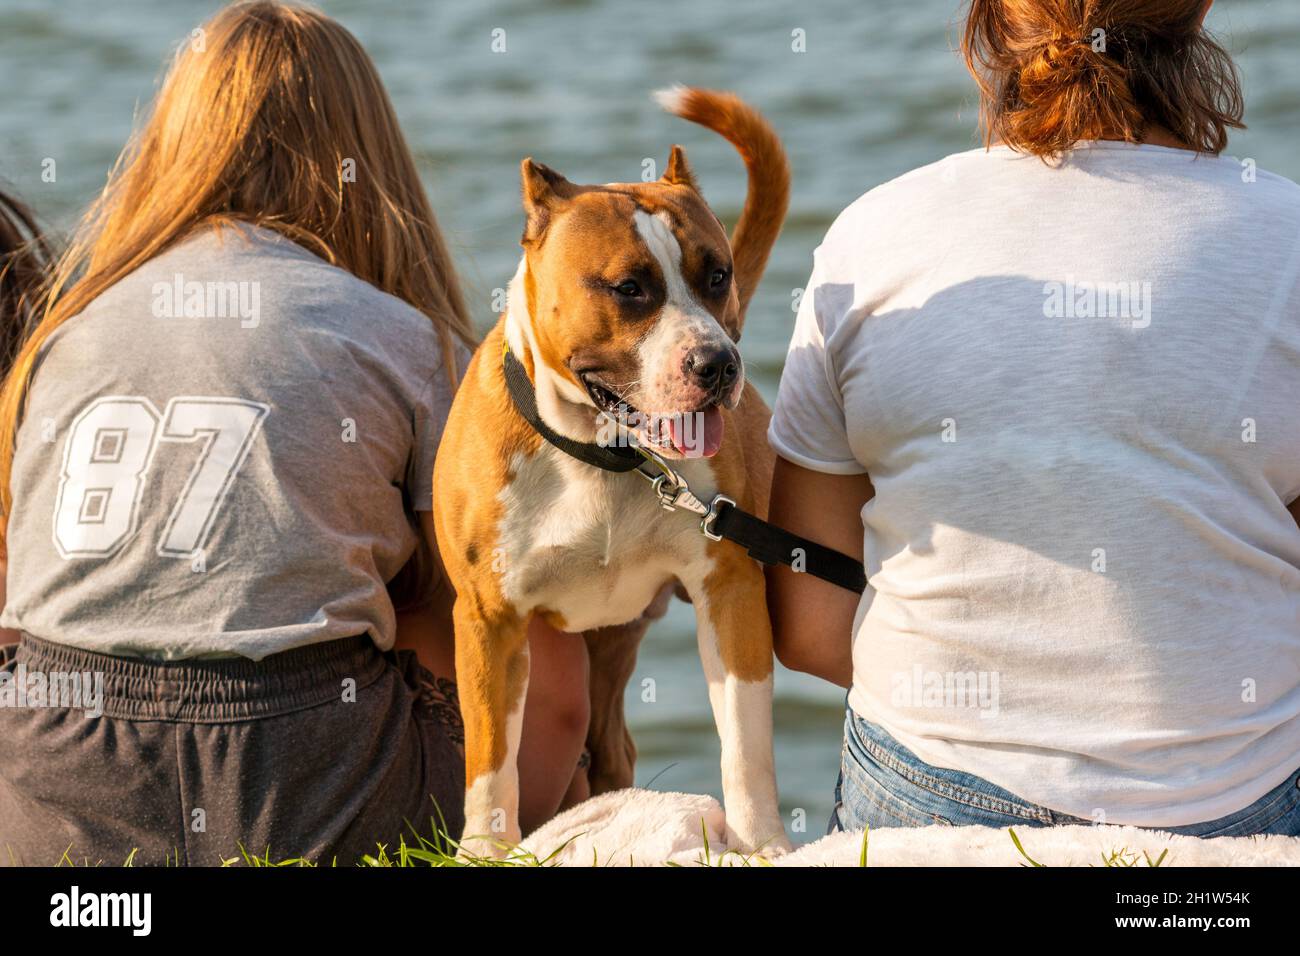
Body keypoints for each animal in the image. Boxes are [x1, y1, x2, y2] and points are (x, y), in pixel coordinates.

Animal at [434, 85, 790, 858]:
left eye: (718, 275)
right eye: (629, 288)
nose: (719, 363)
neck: (605, 457)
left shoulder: (731, 589)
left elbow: (746, 741)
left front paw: (764, 844)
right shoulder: (488, 617)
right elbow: (490, 758)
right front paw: (486, 850)